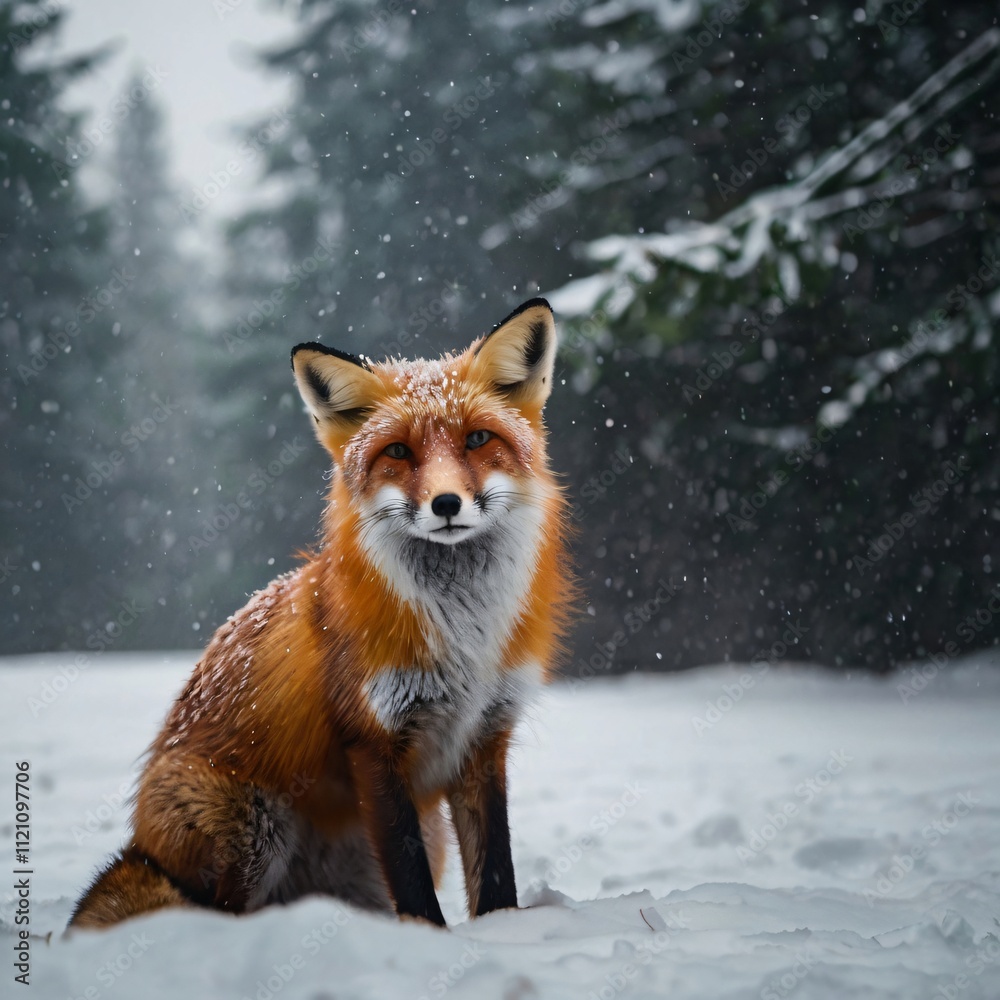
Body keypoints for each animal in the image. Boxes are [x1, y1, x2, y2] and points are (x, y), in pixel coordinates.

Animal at [69, 298, 574, 930]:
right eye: (398, 451)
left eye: (478, 438)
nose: (446, 504)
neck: (464, 632)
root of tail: (141, 840)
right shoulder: (372, 740)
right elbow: (414, 890)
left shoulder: (484, 737)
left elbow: (495, 873)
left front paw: (503, 932)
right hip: (252, 829)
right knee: (221, 913)